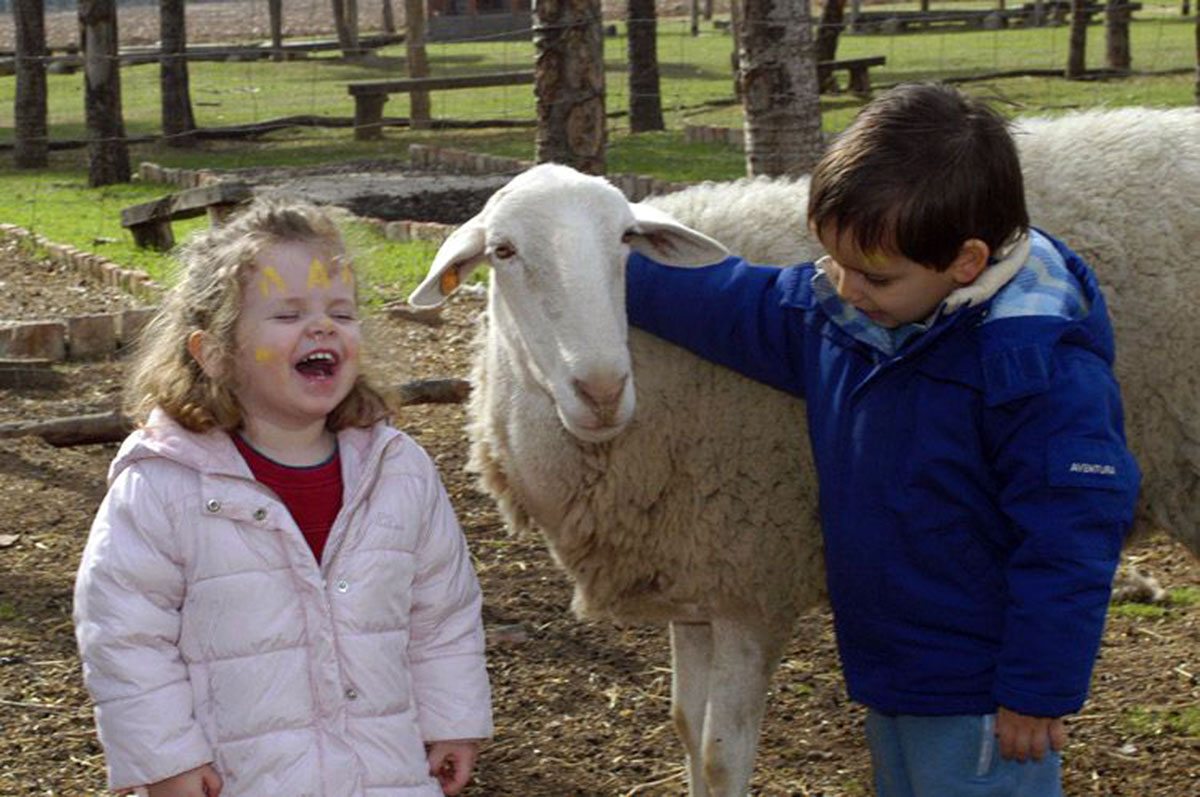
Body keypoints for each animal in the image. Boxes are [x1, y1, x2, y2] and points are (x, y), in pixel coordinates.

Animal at [409, 163, 824, 797]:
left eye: (627, 238)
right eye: (503, 250)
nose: (602, 392)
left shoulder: (756, 588)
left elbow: (721, 757)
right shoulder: (697, 583)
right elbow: (686, 725)